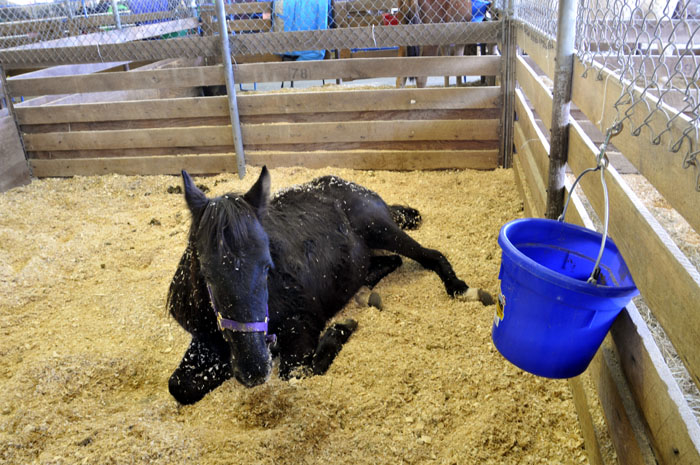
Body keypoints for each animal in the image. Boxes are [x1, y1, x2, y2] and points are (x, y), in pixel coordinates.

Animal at [166, 167, 494, 405]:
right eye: (206, 274)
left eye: (267, 266)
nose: (253, 369)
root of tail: (361, 189)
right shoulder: (207, 341)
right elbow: (178, 385)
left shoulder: (302, 325)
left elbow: (296, 372)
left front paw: (341, 328)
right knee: (387, 263)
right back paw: (364, 293)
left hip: (381, 229)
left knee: (431, 256)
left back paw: (462, 289)